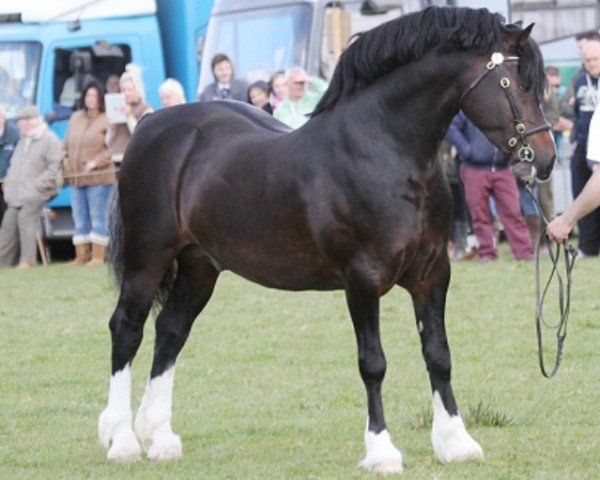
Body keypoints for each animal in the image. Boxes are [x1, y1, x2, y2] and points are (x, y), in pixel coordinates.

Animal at [97, 5, 552, 474]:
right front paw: (381, 451)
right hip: (147, 259)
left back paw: (159, 437)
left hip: (198, 266)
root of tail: (150, 123)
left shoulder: (432, 275)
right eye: (512, 84)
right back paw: (122, 440)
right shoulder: (362, 280)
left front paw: (455, 442)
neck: (386, 151)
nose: (546, 157)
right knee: (126, 329)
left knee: (171, 330)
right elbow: (373, 363)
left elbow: (438, 354)